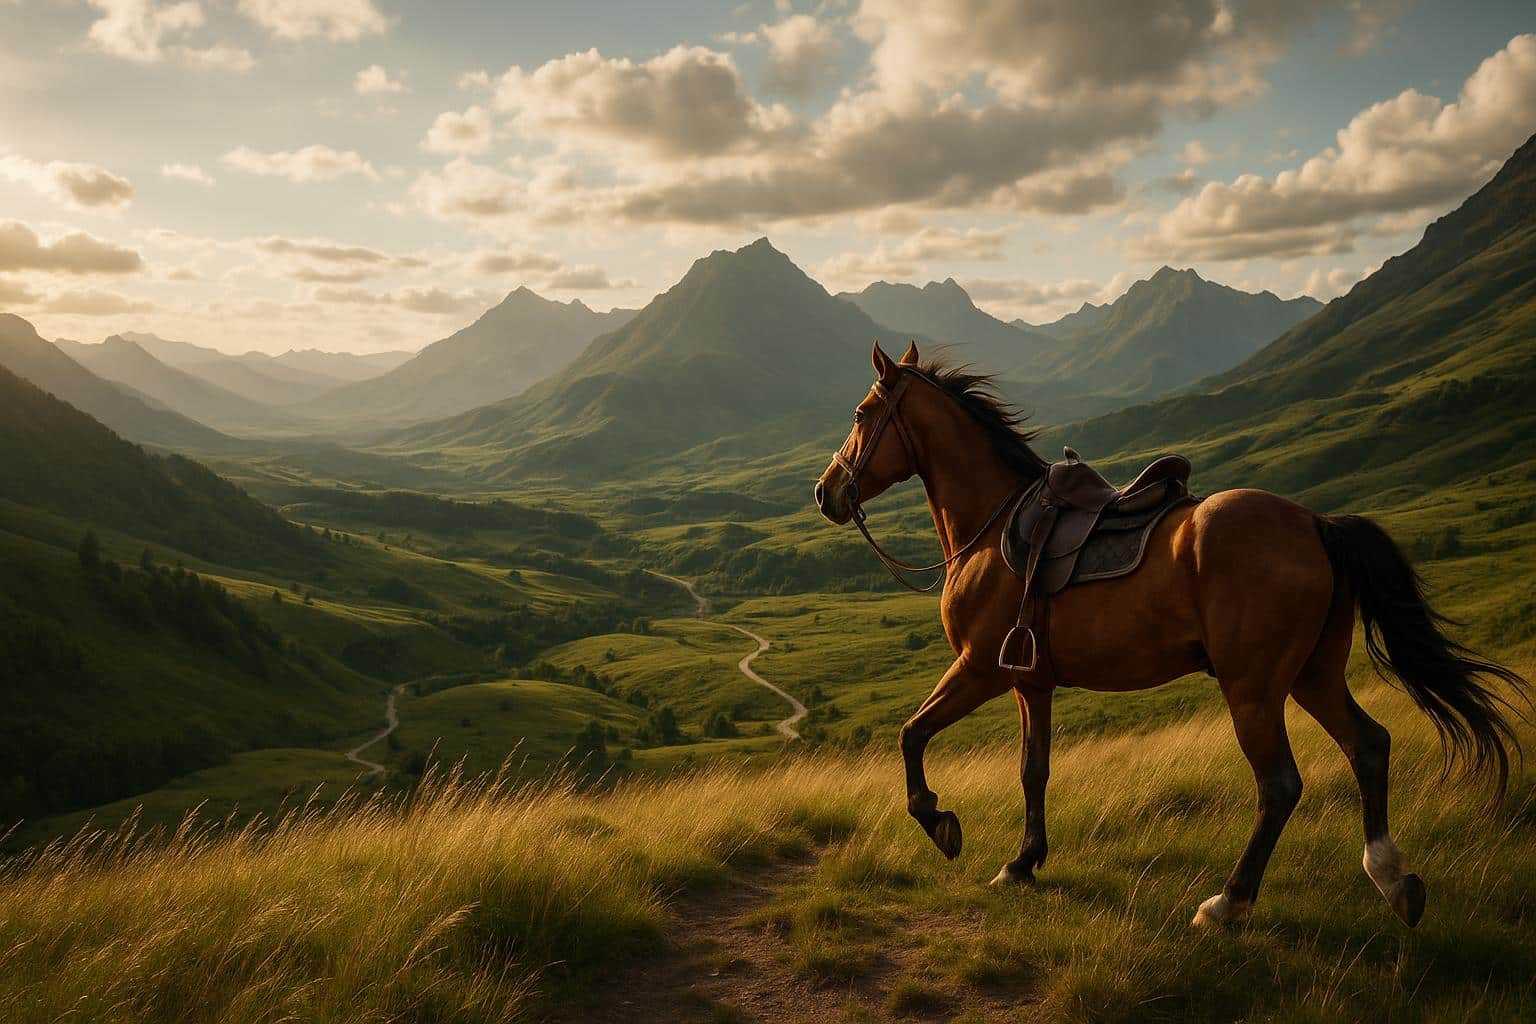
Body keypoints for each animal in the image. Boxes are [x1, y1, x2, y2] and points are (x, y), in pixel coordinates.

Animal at [813, 340, 1528, 928]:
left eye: (860, 413)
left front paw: (941, 823)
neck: (991, 527)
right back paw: (1392, 880)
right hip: (1313, 675)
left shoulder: (980, 670)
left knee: (1280, 785)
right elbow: (1032, 769)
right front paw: (1022, 862)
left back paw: (1228, 904)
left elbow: (911, 735)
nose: (826, 493)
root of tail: (1315, 523)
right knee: (1368, 745)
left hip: (1254, 689)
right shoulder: (1030, 683)